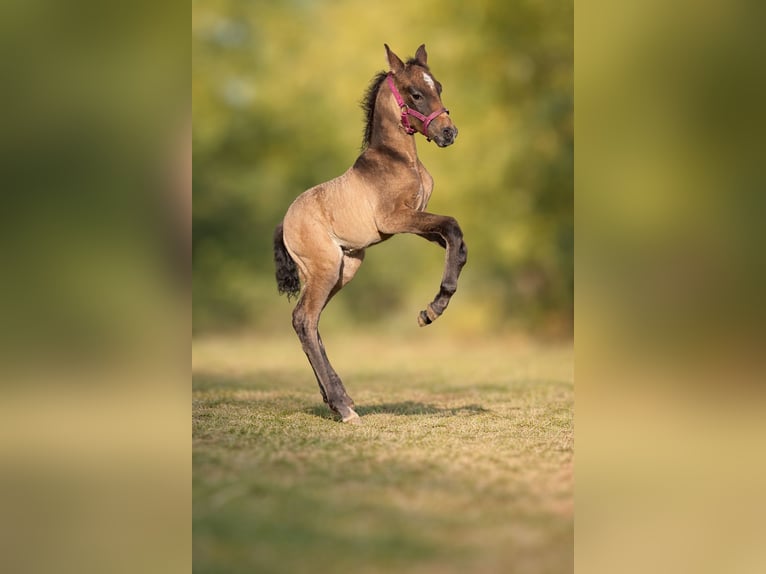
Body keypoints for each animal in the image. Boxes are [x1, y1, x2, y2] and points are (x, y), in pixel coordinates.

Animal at [273, 44, 467, 423]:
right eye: (416, 93)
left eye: (439, 86)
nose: (448, 133)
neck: (399, 159)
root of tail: (284, 224)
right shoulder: (394, 220)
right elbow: (452, 226)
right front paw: (433, 310)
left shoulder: (415, 220)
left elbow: (455, 241)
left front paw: (433, 306)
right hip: (325, 269)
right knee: (304, 319)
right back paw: (343, 406)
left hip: (344, 269)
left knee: (311, 322)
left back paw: (338, 399)